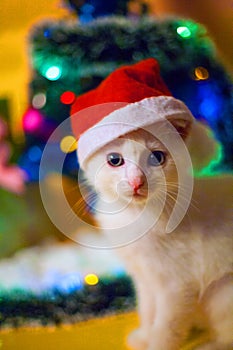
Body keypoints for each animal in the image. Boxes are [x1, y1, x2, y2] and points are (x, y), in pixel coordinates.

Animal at [83, 118, 232, 350]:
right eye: (115, 160)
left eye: (157, 157)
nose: (136, 182)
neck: (137, 215)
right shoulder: (145, 278)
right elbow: (147, 308)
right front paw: (144, 336)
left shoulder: (176, 285)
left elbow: (166, 323)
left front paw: (156, 343)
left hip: (222, 293)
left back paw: (211, 345)